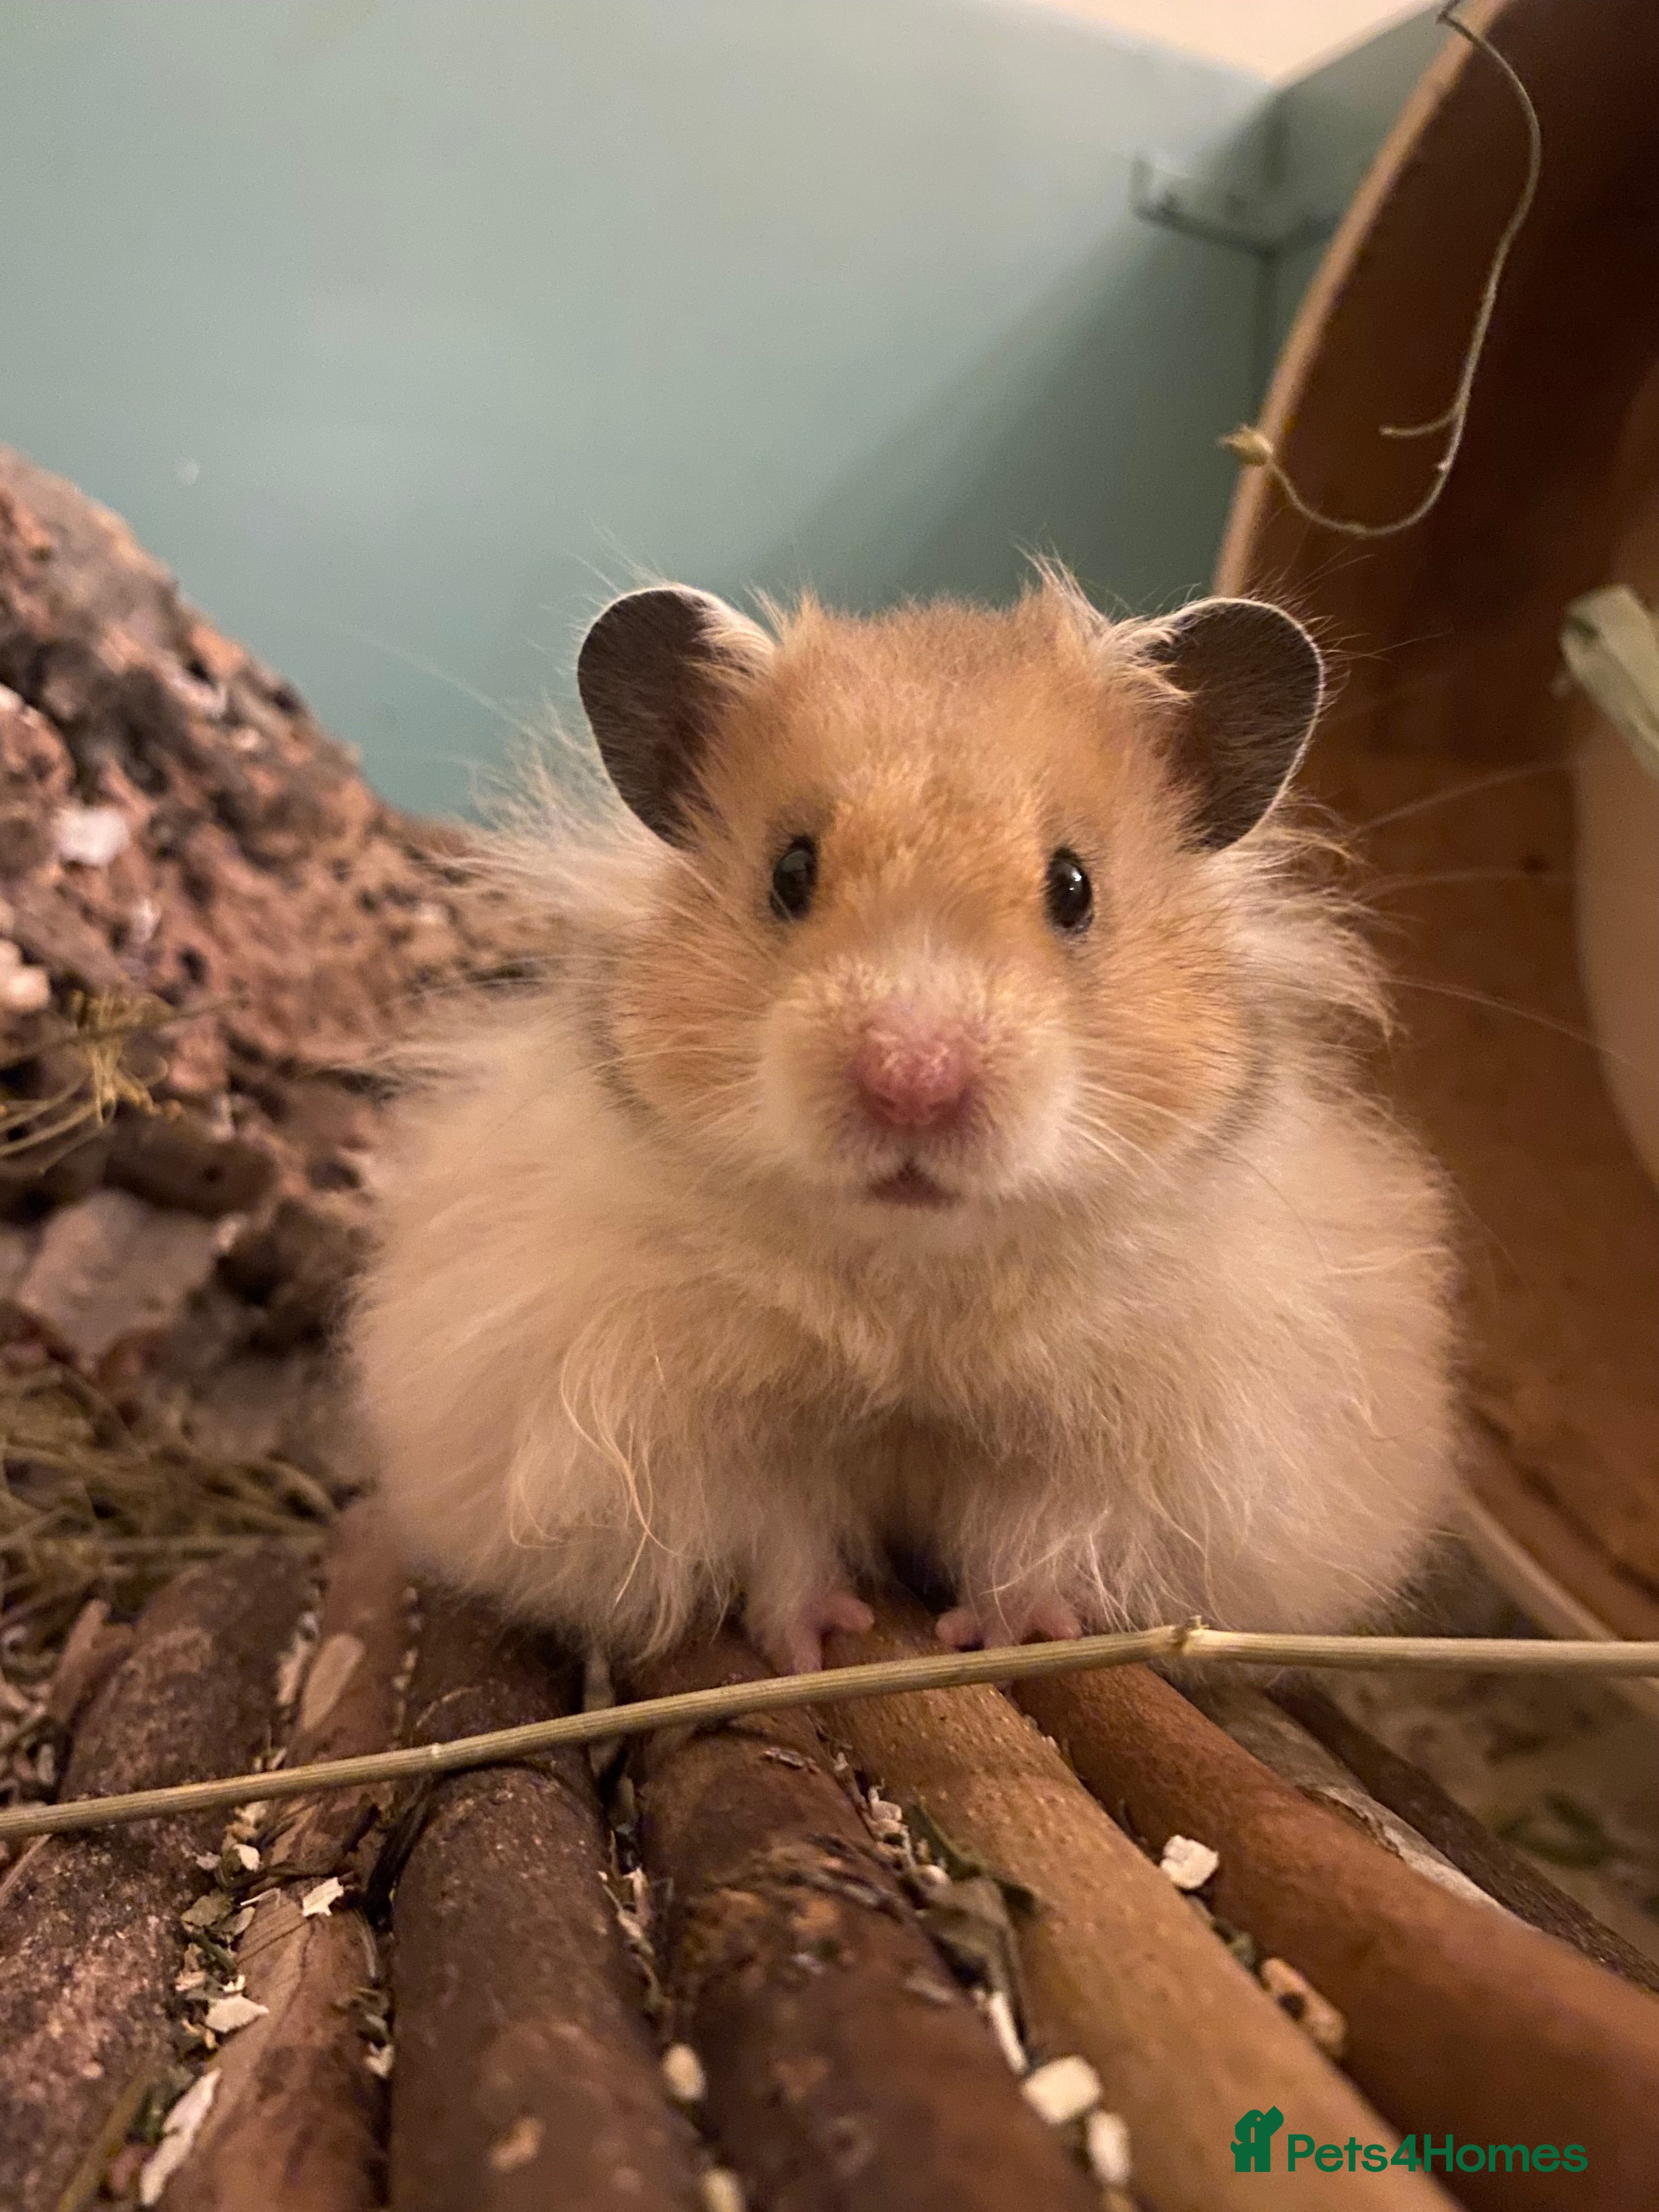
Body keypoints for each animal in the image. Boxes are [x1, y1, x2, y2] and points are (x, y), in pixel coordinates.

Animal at [351, 568, 1459, 1674]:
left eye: (1073, 886)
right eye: (790, 872)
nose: (912, 1082)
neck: (915, 1277)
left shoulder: (1135, 1455)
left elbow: (1031, 1541)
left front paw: (1002, 1635)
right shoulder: (672, 1430)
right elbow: (782, 1540)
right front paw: (818, 1646)